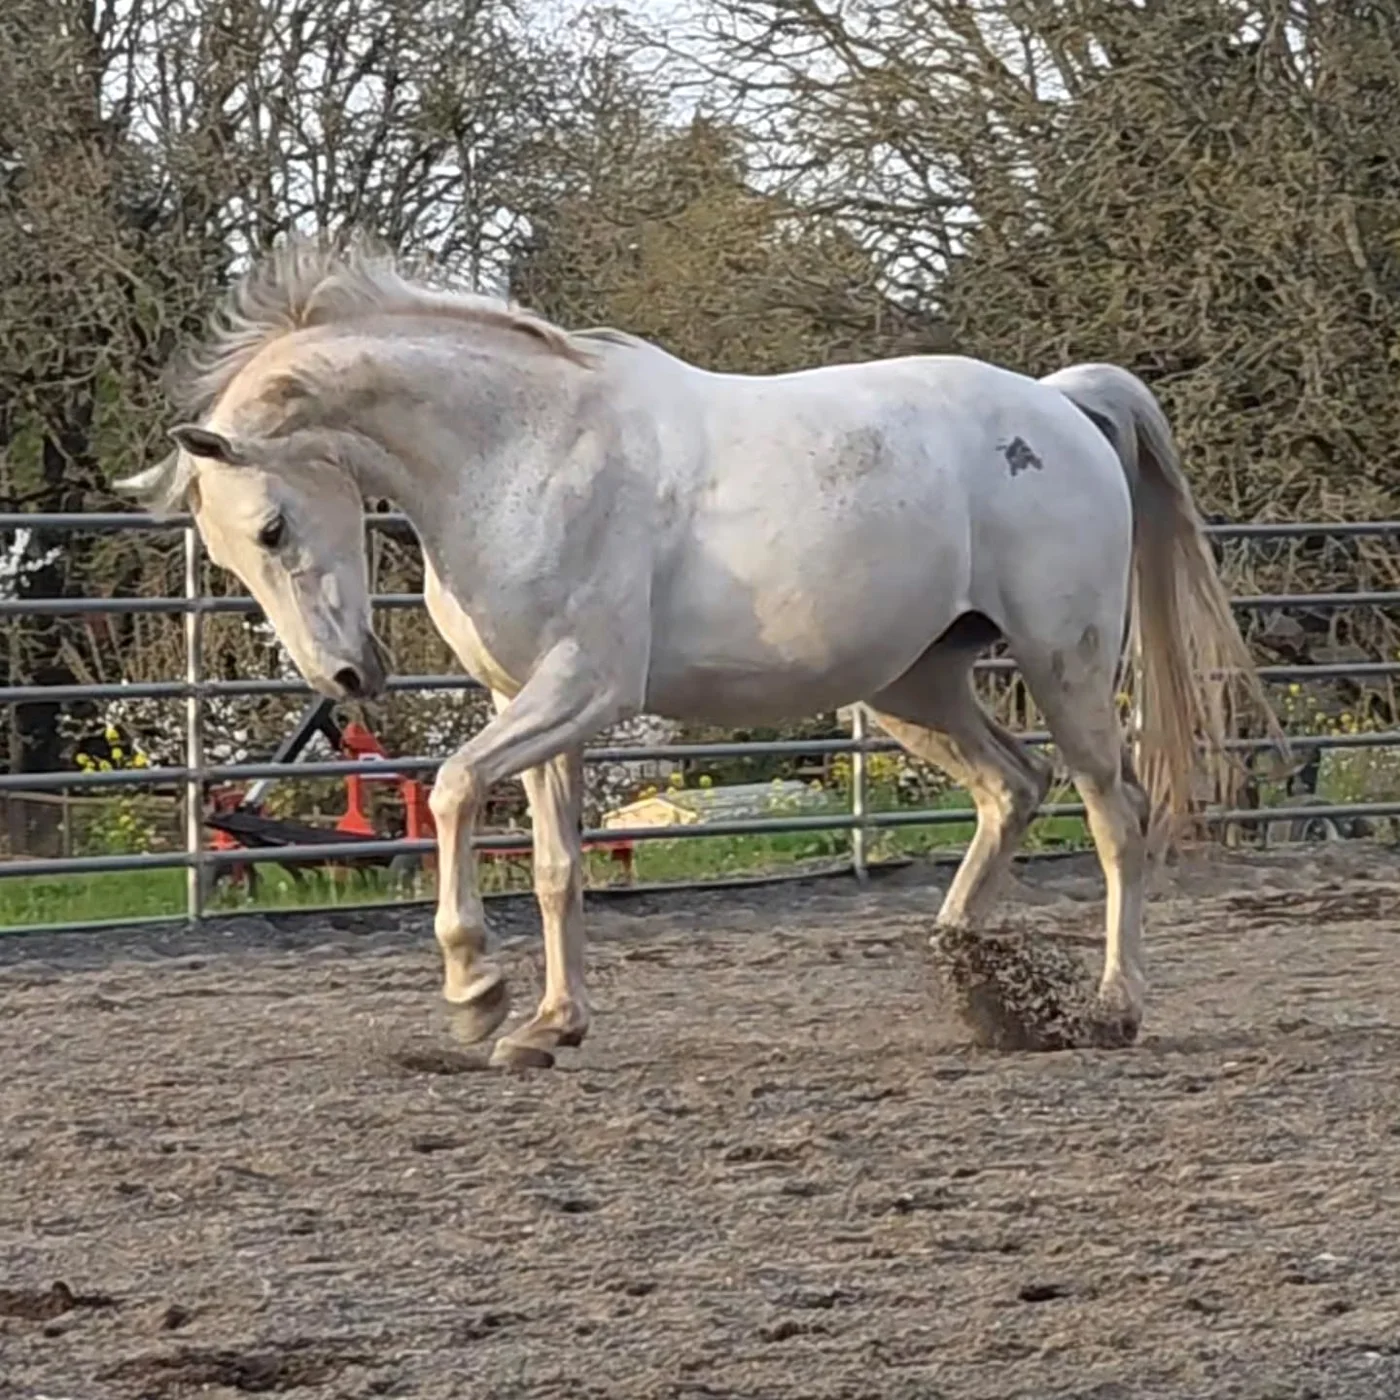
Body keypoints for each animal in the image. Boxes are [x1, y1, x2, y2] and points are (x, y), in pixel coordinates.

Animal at [118, 237, 1278, 1068]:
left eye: (272, 527)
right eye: (231, 554)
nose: (347, 677)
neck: (520, 448)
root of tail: (1061, 403)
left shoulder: (583, 689)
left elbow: (448, 791)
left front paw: (474, 993)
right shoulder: (529, 704)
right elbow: (556, 867)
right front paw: (548, 1024)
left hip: (1064, 661)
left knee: (1114, 816)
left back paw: (1110, 1005)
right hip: (915, 684)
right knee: (1012, 786)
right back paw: (966, 965)